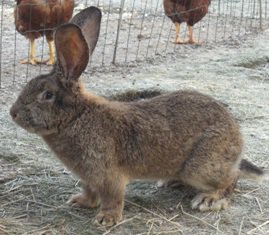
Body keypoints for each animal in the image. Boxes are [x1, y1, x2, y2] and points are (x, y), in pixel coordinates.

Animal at [10, 6, 266, 227]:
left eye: (47, 94)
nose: (13, 113)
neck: (77, 116)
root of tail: (237, 138)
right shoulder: (89, 177)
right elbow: (89, 192)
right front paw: (80, 202)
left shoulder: (108, 175)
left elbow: (113, 197)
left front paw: (106, 219)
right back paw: (171, 181)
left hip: (201, 166)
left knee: (230, 179)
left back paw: (209, 200)